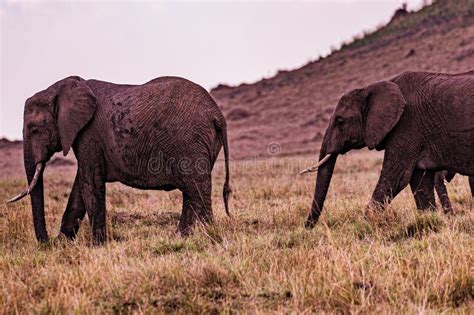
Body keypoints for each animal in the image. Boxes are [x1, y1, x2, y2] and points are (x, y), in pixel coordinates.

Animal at [6, 76, 231, 244]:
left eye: (35, 130)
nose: (47, 243)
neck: (59, 89)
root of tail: (217, 115)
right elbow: (80, 187)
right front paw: (63, 243)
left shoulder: (89, 135)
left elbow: (89, 183)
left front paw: (97, 246)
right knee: (190, 191)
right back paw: (182, 237)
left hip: (189, 141)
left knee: (197, 189)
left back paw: (209, 235)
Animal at [302, 70, 472, 228]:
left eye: (340, 121)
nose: (307, 228)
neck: (372, 87)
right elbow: (420, 181)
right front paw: (428, 222)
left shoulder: (407, 127)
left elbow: (395, 178)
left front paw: (364, 228)